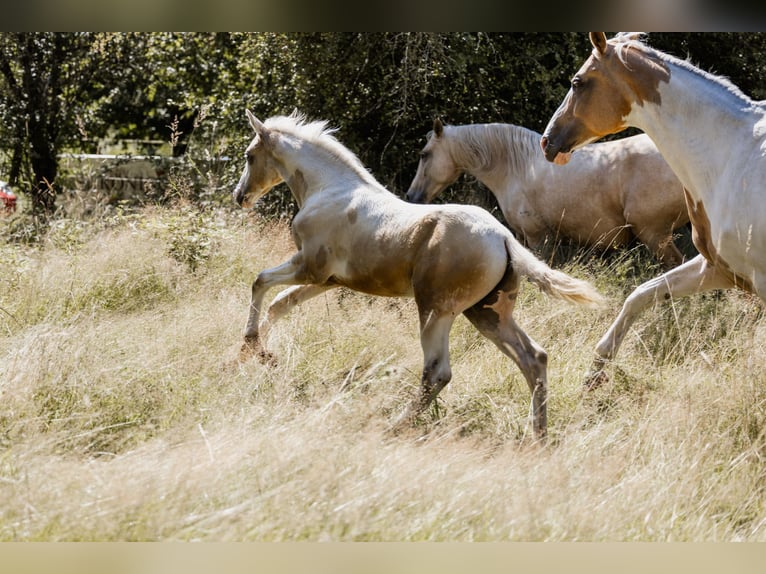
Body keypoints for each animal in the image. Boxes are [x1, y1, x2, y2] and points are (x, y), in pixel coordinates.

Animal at [234, 109, 608, 440]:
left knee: (437, 372)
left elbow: (260, 280)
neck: (329, 189)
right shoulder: (325, 281)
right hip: (488, 313)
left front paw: (252, 345)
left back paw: (395, 426)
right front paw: (257, 355)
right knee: (534, 358)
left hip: (435, 310)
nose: (240, 196)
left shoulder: (309, 266)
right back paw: (538, 435)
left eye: (250, 156)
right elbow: (279, 304)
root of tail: (503, 237)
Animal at [540, 32, 766, 392]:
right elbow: (642, 294)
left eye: (578, 82)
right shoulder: (718, 267)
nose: (547, 142)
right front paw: (594, 373)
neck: (730, 156)